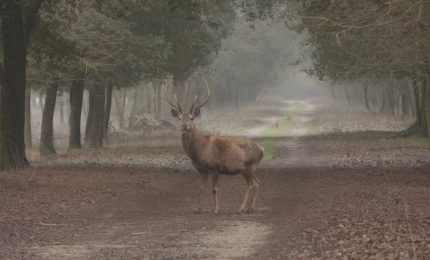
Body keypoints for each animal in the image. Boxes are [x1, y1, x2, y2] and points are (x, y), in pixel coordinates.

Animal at [165, 78, 264, 213]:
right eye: (179, 118)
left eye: (191, 118)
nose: (184, 126)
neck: (201, 149)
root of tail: (261, 149)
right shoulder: (202, 170)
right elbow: (201, 187)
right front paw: (198, 208)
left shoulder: (216, 167)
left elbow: (214, 189)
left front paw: (216, 209)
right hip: (250, 169)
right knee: (257, 183)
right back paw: (251, 208)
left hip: (249, 166)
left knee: (251, 185)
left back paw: (241, 208)